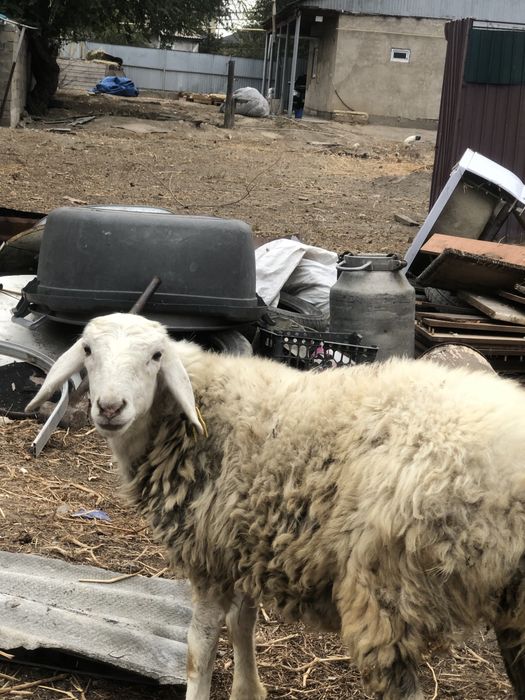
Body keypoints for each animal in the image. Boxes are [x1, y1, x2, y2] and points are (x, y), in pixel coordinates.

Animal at [25, 311, 525, 700]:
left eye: (156, 357)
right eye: (88, 349)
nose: (110, 407)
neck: (196, 411)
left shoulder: (209, 553)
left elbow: (199, 646)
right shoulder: (246, 539)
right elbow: (242, 621)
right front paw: (249, 689)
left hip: (390, 589)